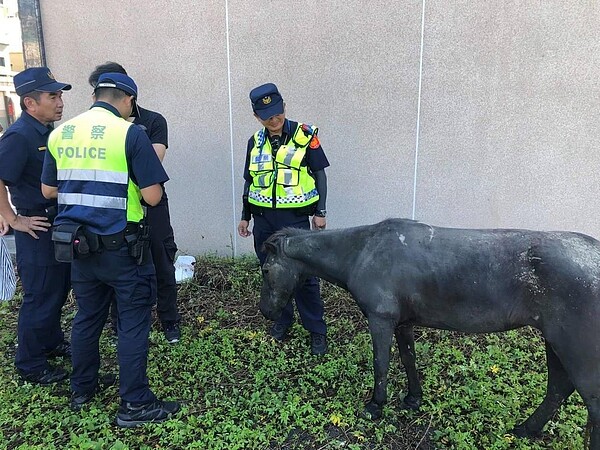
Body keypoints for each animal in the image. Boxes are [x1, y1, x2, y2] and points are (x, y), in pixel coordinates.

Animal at [258, 217, 600, 446]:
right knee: (558, 389)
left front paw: (375, 406)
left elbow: (381, 364)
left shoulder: (380, 320)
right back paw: (526, 430)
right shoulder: (403, 323)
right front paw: (413, 399)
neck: (362, 250)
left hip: (574, 349)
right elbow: (408, 359)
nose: (266, 311)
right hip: (555, 342)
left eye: (266, 269)